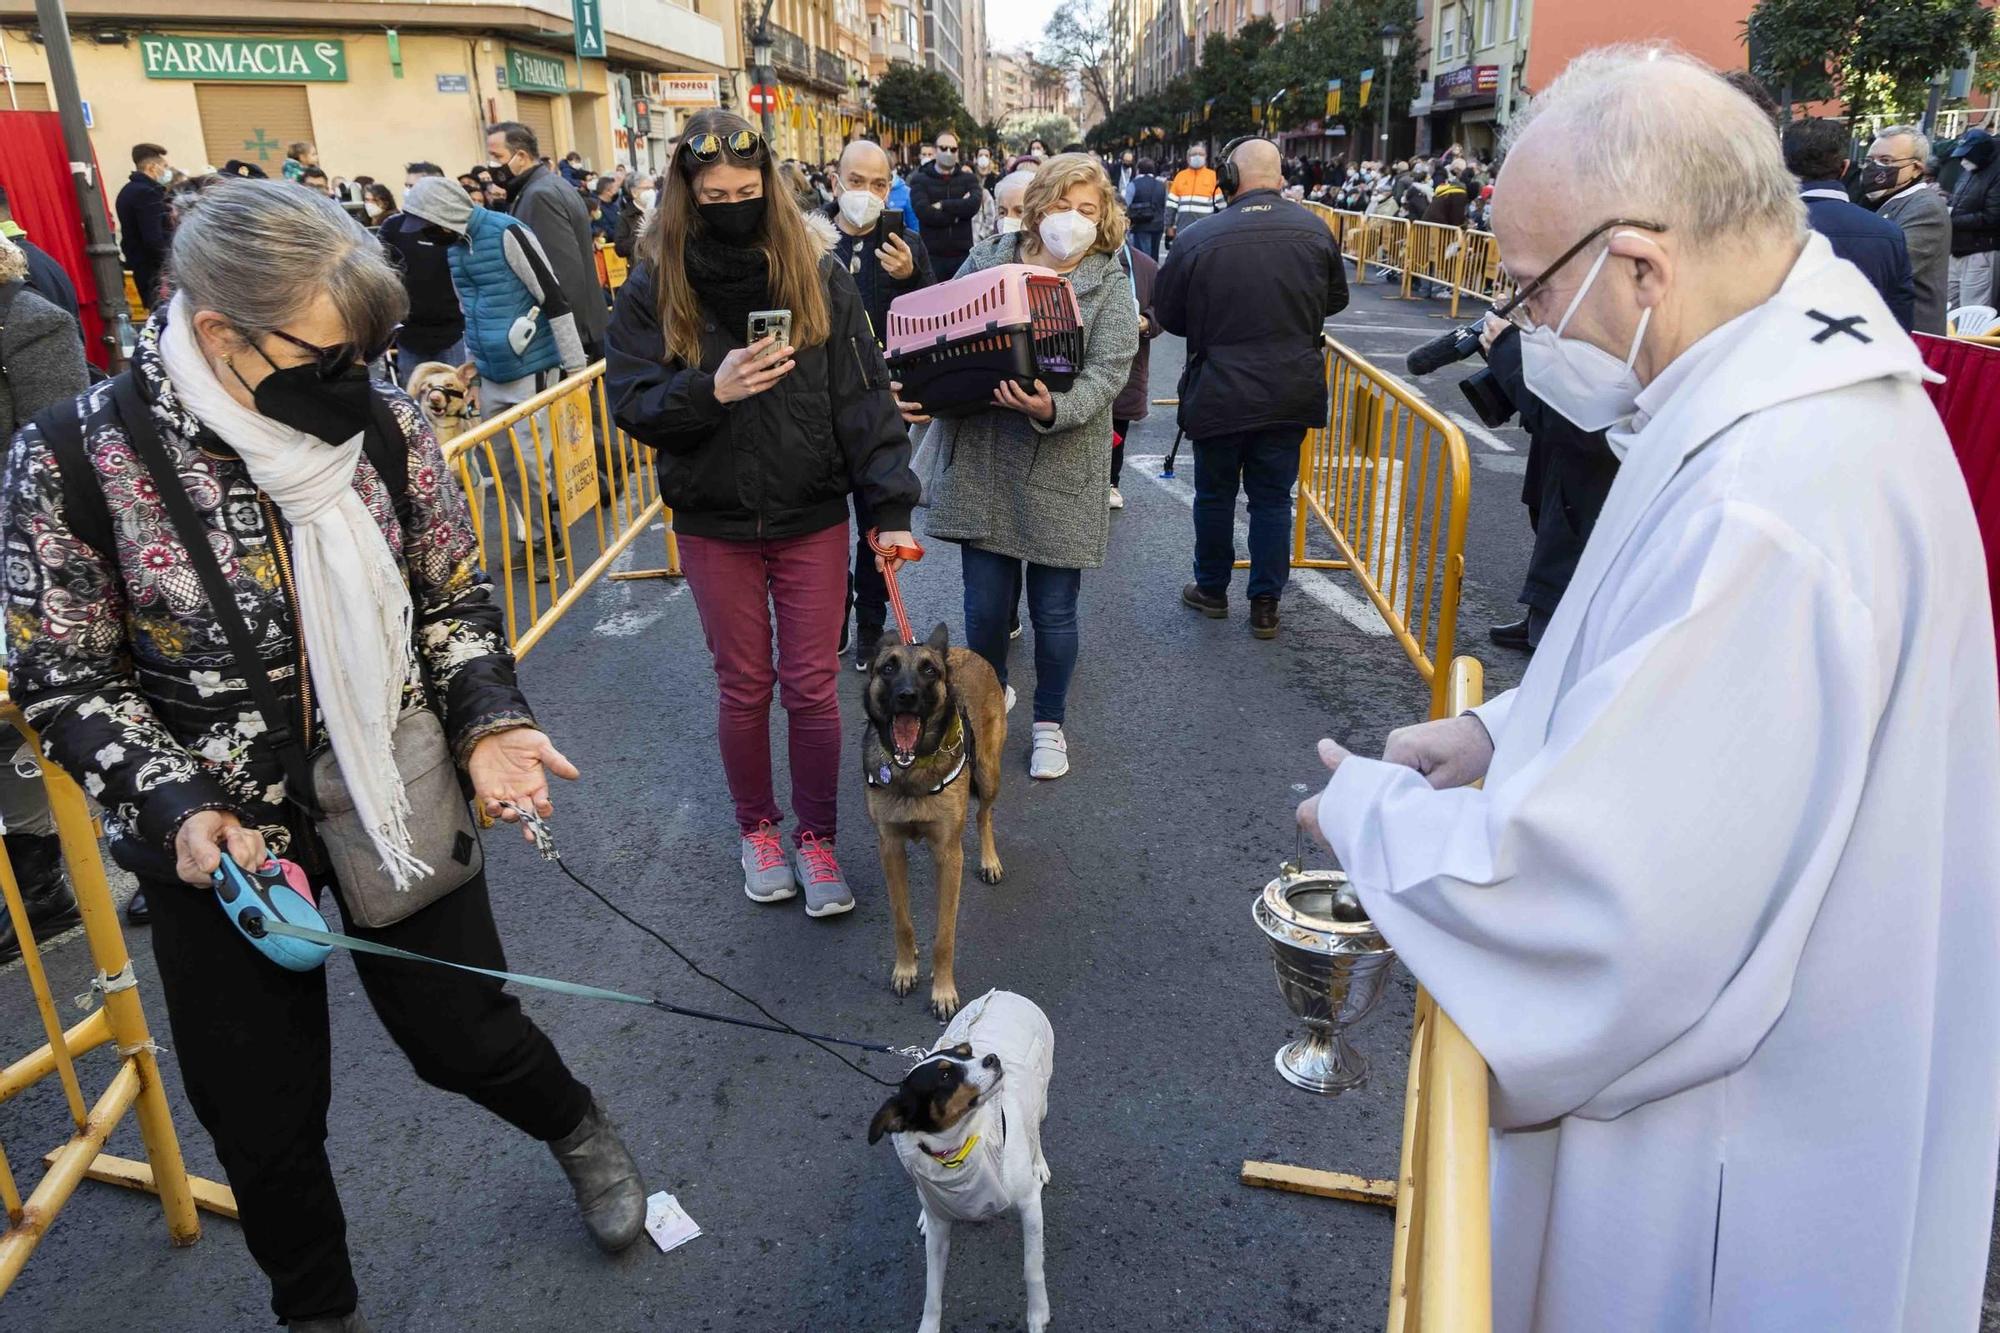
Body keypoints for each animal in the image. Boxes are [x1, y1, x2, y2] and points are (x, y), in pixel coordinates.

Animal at [868, 984, 1056, 1328]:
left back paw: (1038, 1163)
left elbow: (1032, 1268)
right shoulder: (940, 1229)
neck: (957, 1149)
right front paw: (928, 1326)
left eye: (968, 1053)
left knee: (1034, 1128)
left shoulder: (1029, 1205)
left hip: (1041, 1093)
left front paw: (1038, 1313)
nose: (993, 1058)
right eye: (945, 1076)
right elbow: (932, 1290)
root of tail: (1007, 993)